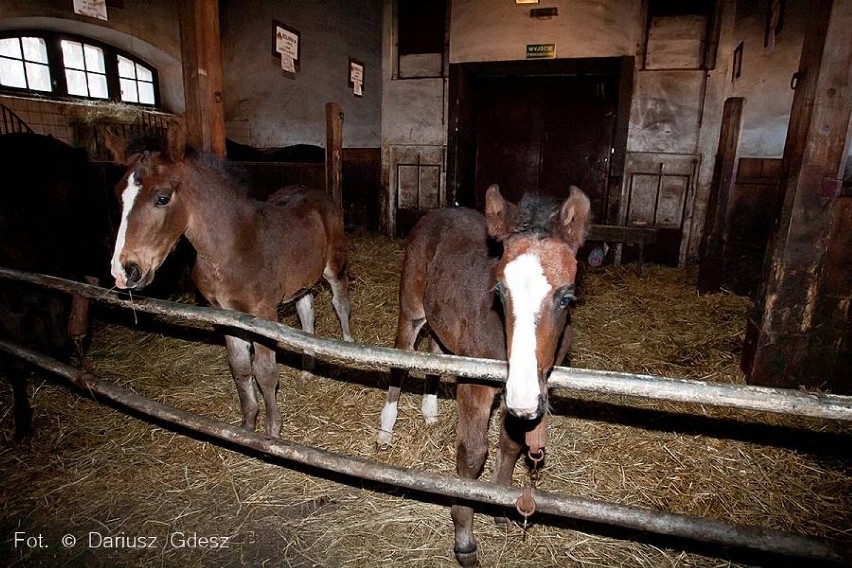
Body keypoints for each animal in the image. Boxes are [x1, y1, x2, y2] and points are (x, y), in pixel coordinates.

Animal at [107, 127, 352, 440]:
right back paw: (308, 370)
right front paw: (247, 425)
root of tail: (317, 192)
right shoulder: (225, 314)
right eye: (119, 196)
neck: (231, 248)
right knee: (306, 314)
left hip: (334, 265)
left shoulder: (263, 314)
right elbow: (240, 368)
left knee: (340, 302)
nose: (125, 271)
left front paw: (272, 432)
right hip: (302, 282)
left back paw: (347, 346)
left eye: (162, 198)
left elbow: (265, 372)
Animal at [382, 184, 592, 564]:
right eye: (499, 292)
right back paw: (385, 429)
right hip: (412, 309)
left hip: (443, 325)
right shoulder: (476, 385)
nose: (523, 396)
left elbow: (510, 445)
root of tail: (440, 212)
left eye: (567, 297)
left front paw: (500, 508)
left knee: (437, 354)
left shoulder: (529, 391)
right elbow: (472, 453)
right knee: (400, 360)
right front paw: (464, 539)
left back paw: (430, 411)